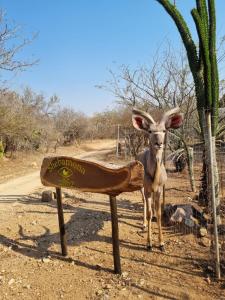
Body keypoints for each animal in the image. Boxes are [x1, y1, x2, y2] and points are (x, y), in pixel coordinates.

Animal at [132, 108, 183, 251]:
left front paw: (161, 243)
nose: (158, 143)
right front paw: (149, 244)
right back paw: (143, 224)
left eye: (164, 130)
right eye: (150, 131)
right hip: (141, 188)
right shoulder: (148, 189)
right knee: (144, 202)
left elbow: (159, 212)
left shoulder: (159, 189)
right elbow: (149, 212)